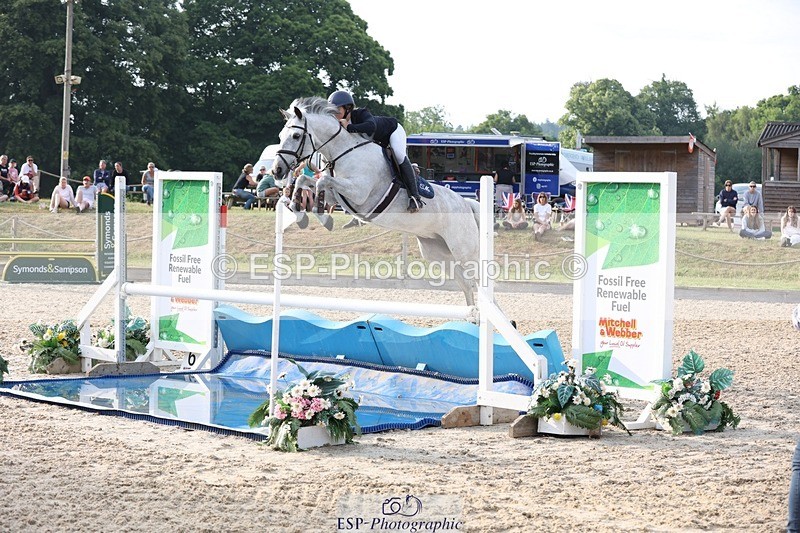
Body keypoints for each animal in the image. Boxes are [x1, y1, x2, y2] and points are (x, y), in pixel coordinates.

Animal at [272, 97, 482, 306]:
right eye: (280, 135)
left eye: (296, 136)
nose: (277, 171)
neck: (343, 151)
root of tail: (466, 203)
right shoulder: (338, 194)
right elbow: (305, 180)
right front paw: (298, 210)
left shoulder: (359, 192)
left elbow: (321, 181)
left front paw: (321, 216)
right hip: (438, 252)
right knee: (466, 285)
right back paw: (472, 314)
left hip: (464, 250)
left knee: (479, 280)